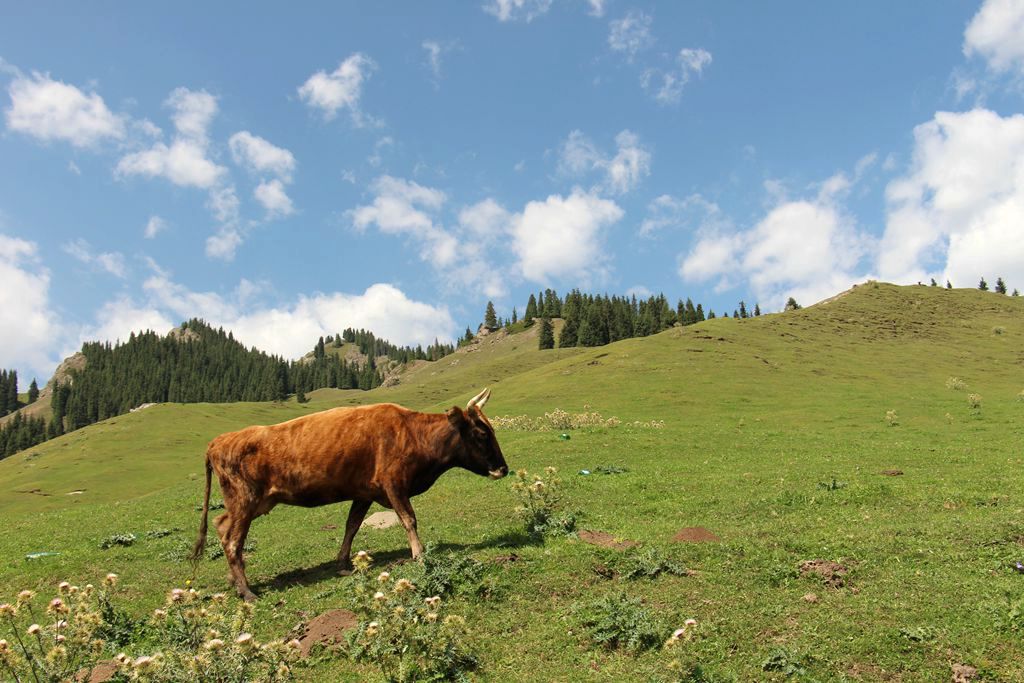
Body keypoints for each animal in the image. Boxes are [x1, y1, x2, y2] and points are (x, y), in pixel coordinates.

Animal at [189, 387, 507, 602]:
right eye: (482, 434)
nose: (503, 469)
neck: (413, 434)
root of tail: (219, 441)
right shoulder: (393, 483)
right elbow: (409, 519)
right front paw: (419, 555)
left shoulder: (365, 492)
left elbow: (351, 526)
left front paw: (342, 564)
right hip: (245, 500)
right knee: (232, 542)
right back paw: (247, 591)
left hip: (253, 502)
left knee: (221, 524)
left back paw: (234, 580)